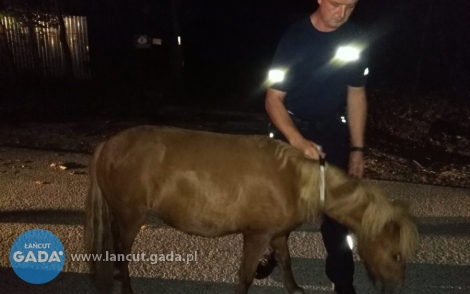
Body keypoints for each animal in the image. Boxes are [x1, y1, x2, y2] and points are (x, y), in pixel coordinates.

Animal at [84, 126, 418, 294]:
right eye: (395, 255)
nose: (395, 291)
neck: (294, 180)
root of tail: (107, 145)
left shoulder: (278, 235)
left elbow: (285, 262)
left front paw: (295, 289)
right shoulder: (256, 236)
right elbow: (245, 276)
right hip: (130, 218)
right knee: (120, 253)